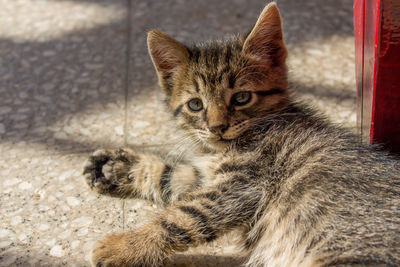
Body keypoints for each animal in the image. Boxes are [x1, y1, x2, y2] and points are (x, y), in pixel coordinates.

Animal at [83, 2, 398, 267]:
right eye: (195, 105)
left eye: (241, 98)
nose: (217, 127)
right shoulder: (210, 175)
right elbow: (172, 176)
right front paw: (119, 166)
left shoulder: (242, 184)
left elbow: (182, 216)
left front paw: (125, 245)